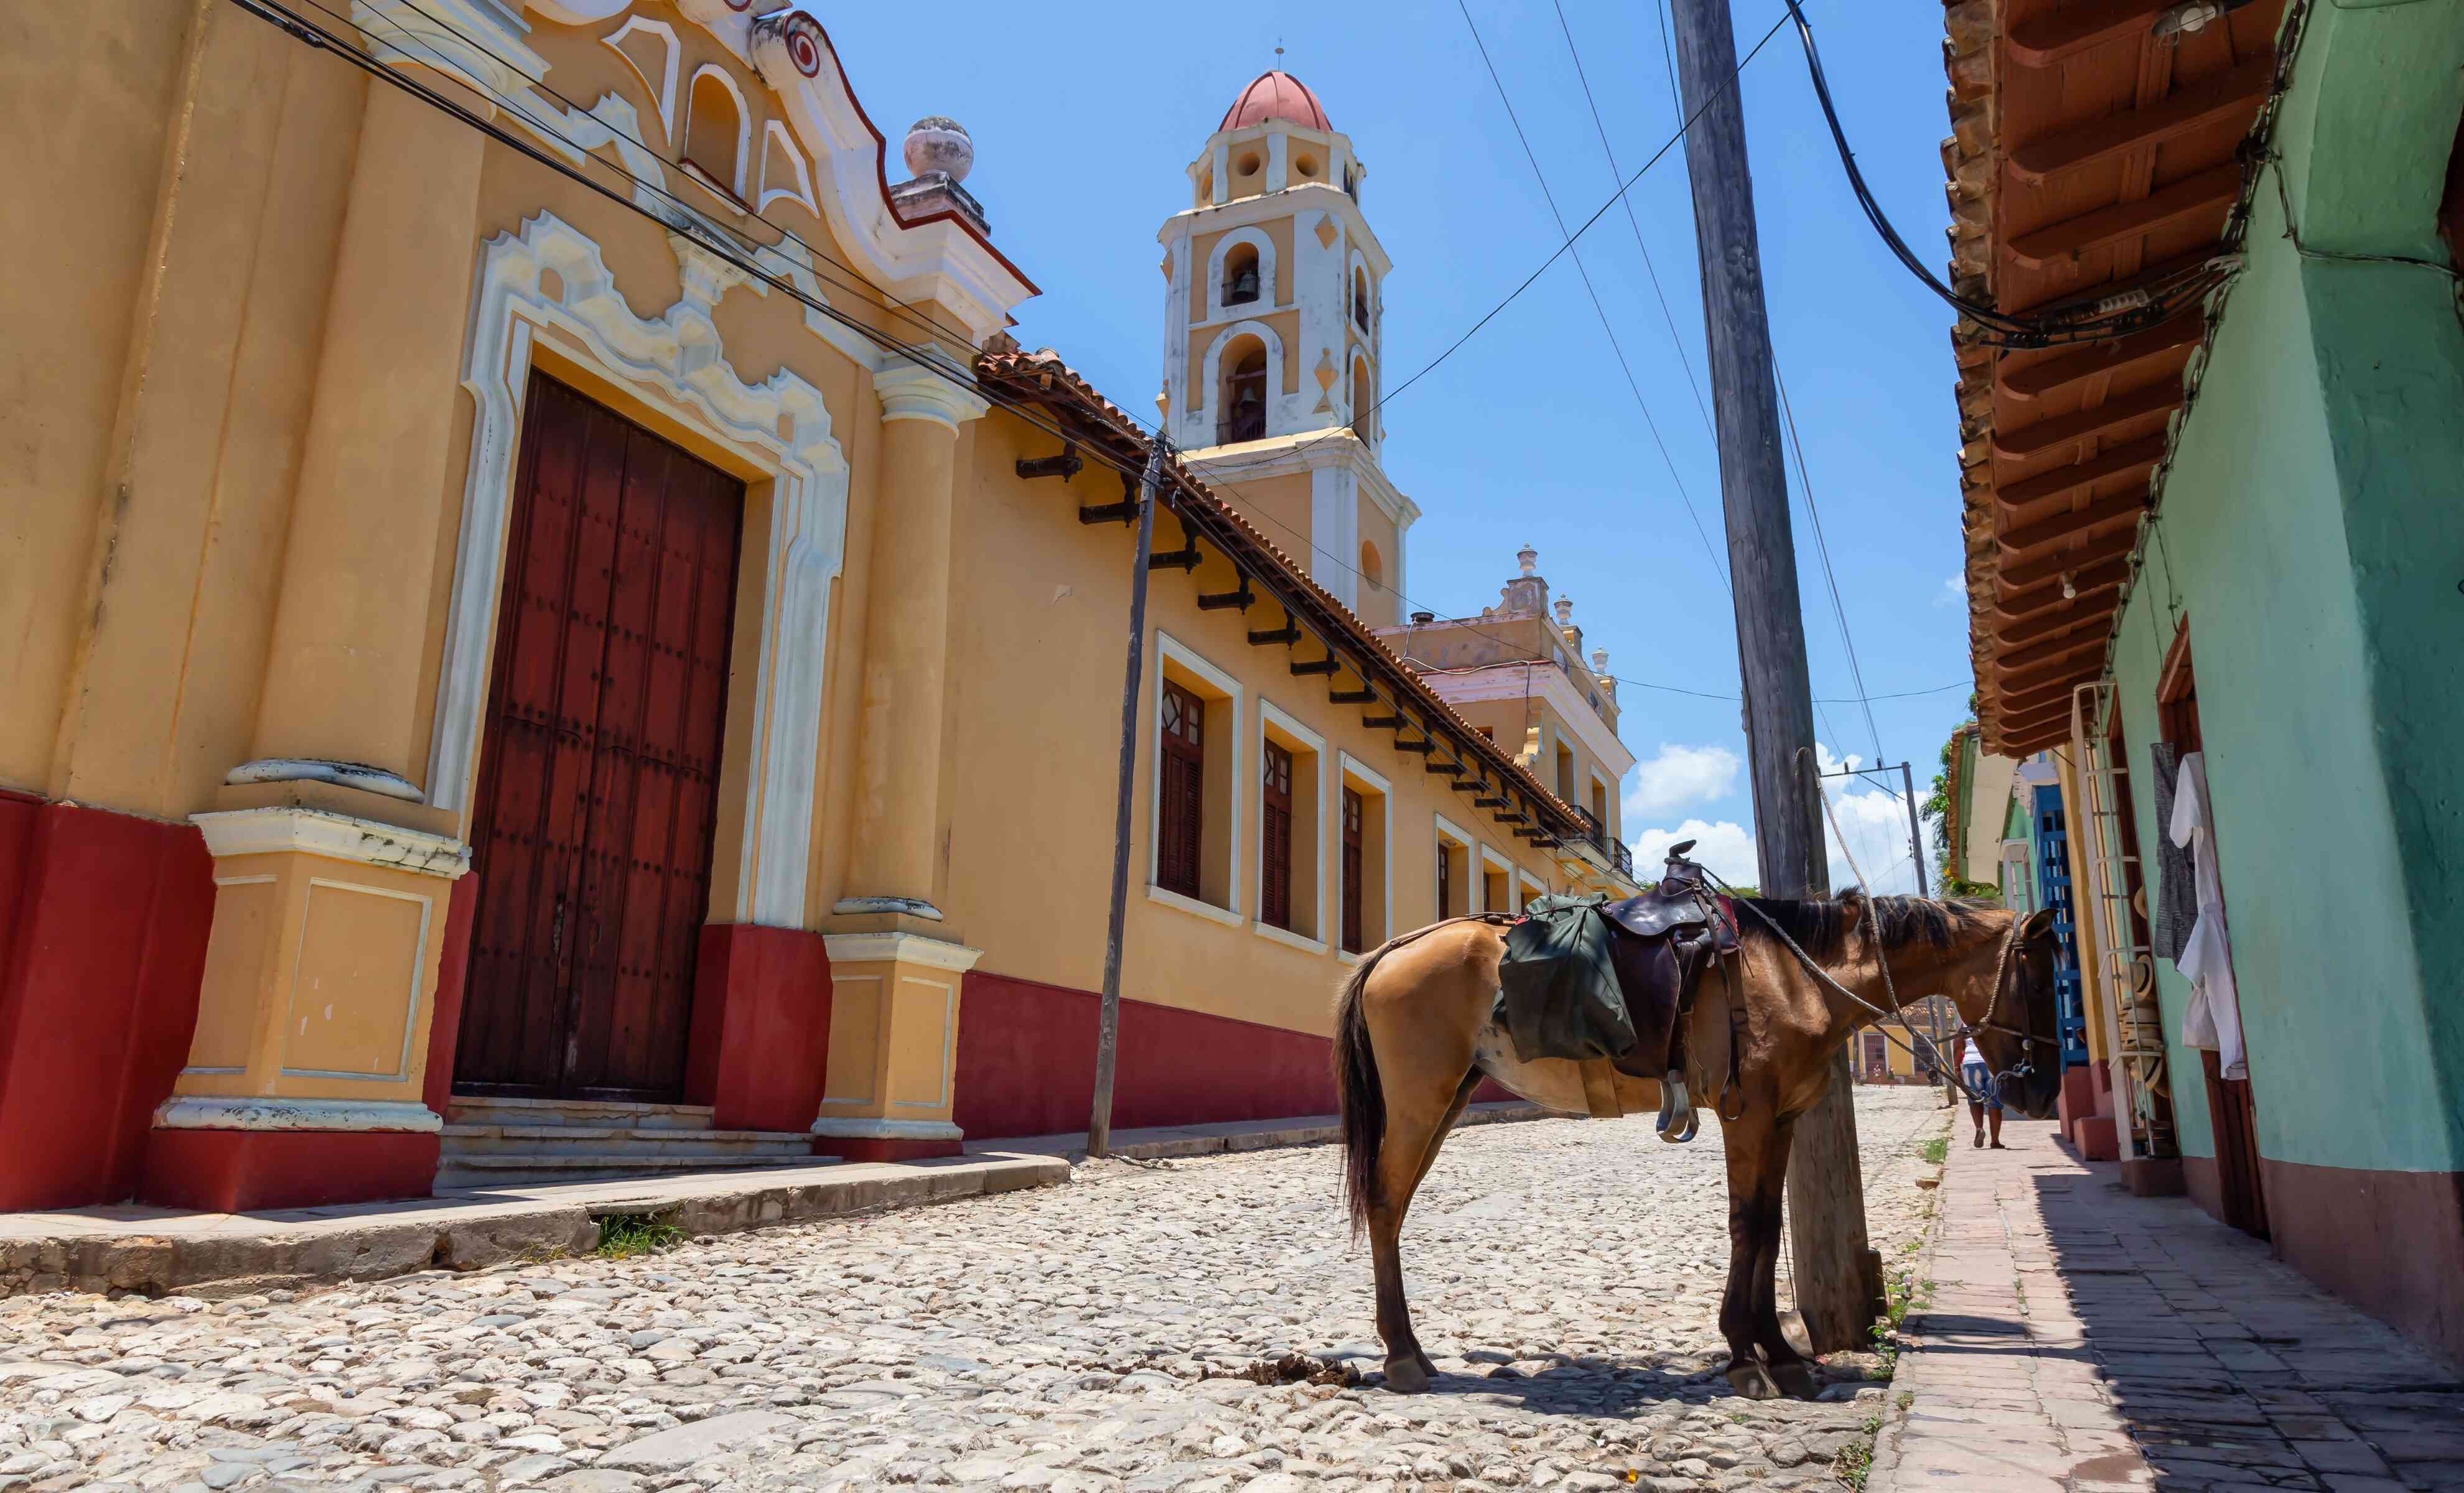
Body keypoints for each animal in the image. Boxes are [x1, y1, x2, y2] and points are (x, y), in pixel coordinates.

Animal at [1330, 886, 2060, 1399]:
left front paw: (1781, 1355)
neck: (1796, 975)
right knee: (1387, 1204)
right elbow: (1747, 1226)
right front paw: (1746, 1357)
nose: (2042, 1092)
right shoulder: (1748, 1115)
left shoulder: (1781, 1120)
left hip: (1448, 1099)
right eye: (2037, 979)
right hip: (1421, 1101)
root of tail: (1394, 949)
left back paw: (1413, 1351)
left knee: (1394, 1208)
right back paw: (1401, 1355)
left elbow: (1766, 1227)